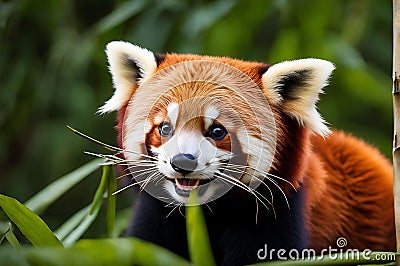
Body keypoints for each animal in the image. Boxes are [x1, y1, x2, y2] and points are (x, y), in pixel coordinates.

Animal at [99, 40, 394, 264]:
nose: (182, 162)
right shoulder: (155, 220)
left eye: (217, 131)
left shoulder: (277, 214)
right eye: (165, 128)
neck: (210, 213)